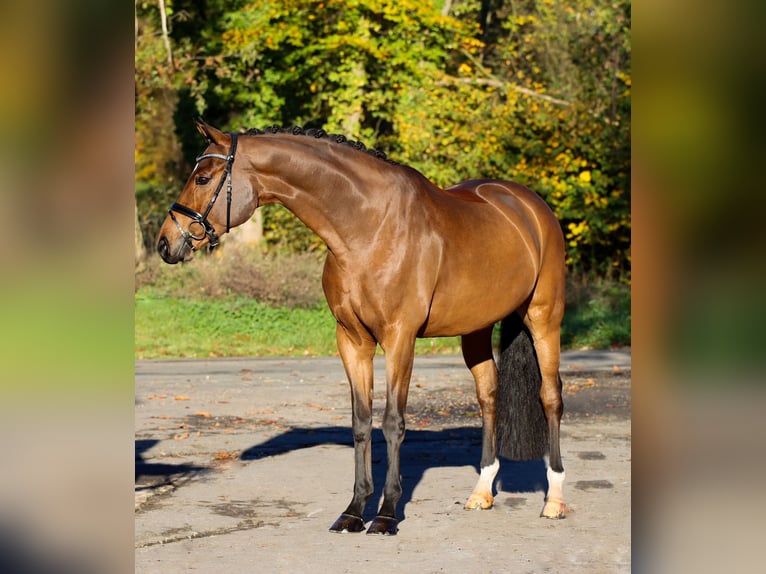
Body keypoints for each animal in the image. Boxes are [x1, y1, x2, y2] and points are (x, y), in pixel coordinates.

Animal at [156, 119, 568, 536]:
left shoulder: (400, 338)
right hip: (476, 331)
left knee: (550, 396)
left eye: (203, 178)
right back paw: (482, 492)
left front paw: (386, 514)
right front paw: (354, 511)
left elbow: (393, 423)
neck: (368, 228)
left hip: (544, 318)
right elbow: (361, 422)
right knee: (488, 396)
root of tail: (530, 206)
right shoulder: (352, 340)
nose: (165, 243)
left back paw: (554, 499)